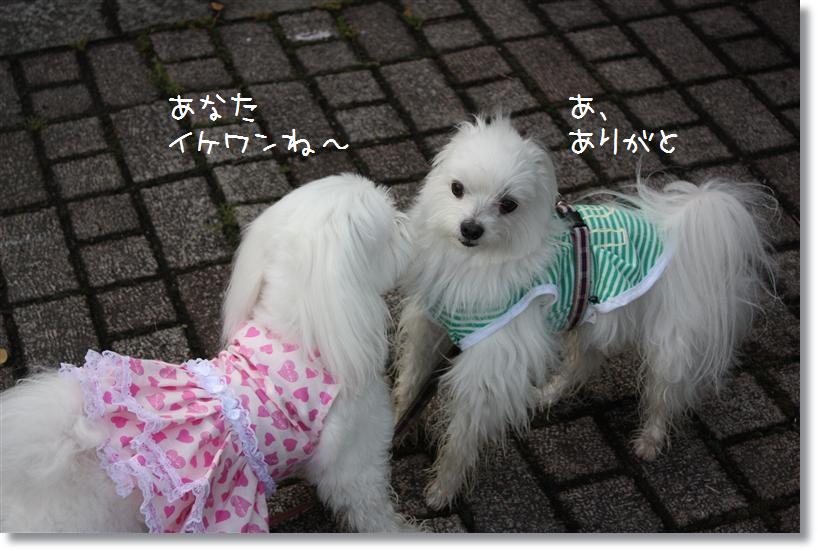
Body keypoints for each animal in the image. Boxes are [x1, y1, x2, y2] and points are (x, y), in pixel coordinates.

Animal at [0, 175, 413, 532]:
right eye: (389, 228)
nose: (409, 222)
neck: (299, 329)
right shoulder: (355, 465)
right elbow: (370, 509)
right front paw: (401, 530)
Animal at [393, 114, 776, 509]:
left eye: (508, 205)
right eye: (456, 188)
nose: (470, 228)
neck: (472, 264)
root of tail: (682, 229)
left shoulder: (490, 367)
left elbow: (462, 437)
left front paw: (442, 488)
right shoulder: (430, 328)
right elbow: (410, 384)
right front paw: (397, 428)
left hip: (670, 341)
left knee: (664, 393)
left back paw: (649, 439)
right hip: (592, 319)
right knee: (585, 361)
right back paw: (549, 392)